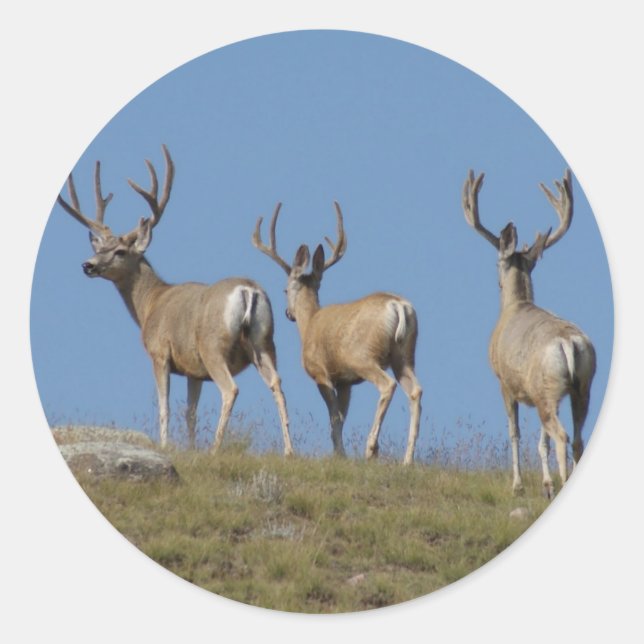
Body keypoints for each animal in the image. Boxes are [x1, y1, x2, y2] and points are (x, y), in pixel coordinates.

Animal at [57, 145, 294, 456]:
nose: (88, 265)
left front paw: (166, 445)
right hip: (264, 342)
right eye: (100, 247)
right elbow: (190, 412)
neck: (150, 304)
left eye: (120, 251)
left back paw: (215, 449)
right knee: (277, 383)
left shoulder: (160, 353)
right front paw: (190, 448)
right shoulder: (194, 370)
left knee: (230, 389)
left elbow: (164, 406)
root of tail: (248, 290)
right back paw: (289, 451)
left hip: (213, 345)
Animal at [252, 201, 422, 465]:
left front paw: (340, 454)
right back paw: (407, 460)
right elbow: (341, 417)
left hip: (364, 356)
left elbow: (334, 419)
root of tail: (398, 306)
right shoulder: (345, 381)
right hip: (404, 356)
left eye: (284, 290)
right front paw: (340, 453)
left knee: (387, 385)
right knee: (416, 391)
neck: (309, 324)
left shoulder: (321, 373)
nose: (288, 313)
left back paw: (371, 448)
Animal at [462, 168, 596, 498]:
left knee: (561, 435)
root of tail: (568, 343)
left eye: (496, 263)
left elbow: (515, 433)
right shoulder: (535, 394)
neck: (515, 306)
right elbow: (540, 441)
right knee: (576, 438)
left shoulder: (504, 382)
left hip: (548, 387)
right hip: (580, 386)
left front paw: (518, 485)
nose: (496, 281)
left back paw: (561, 483)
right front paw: (545, 483)